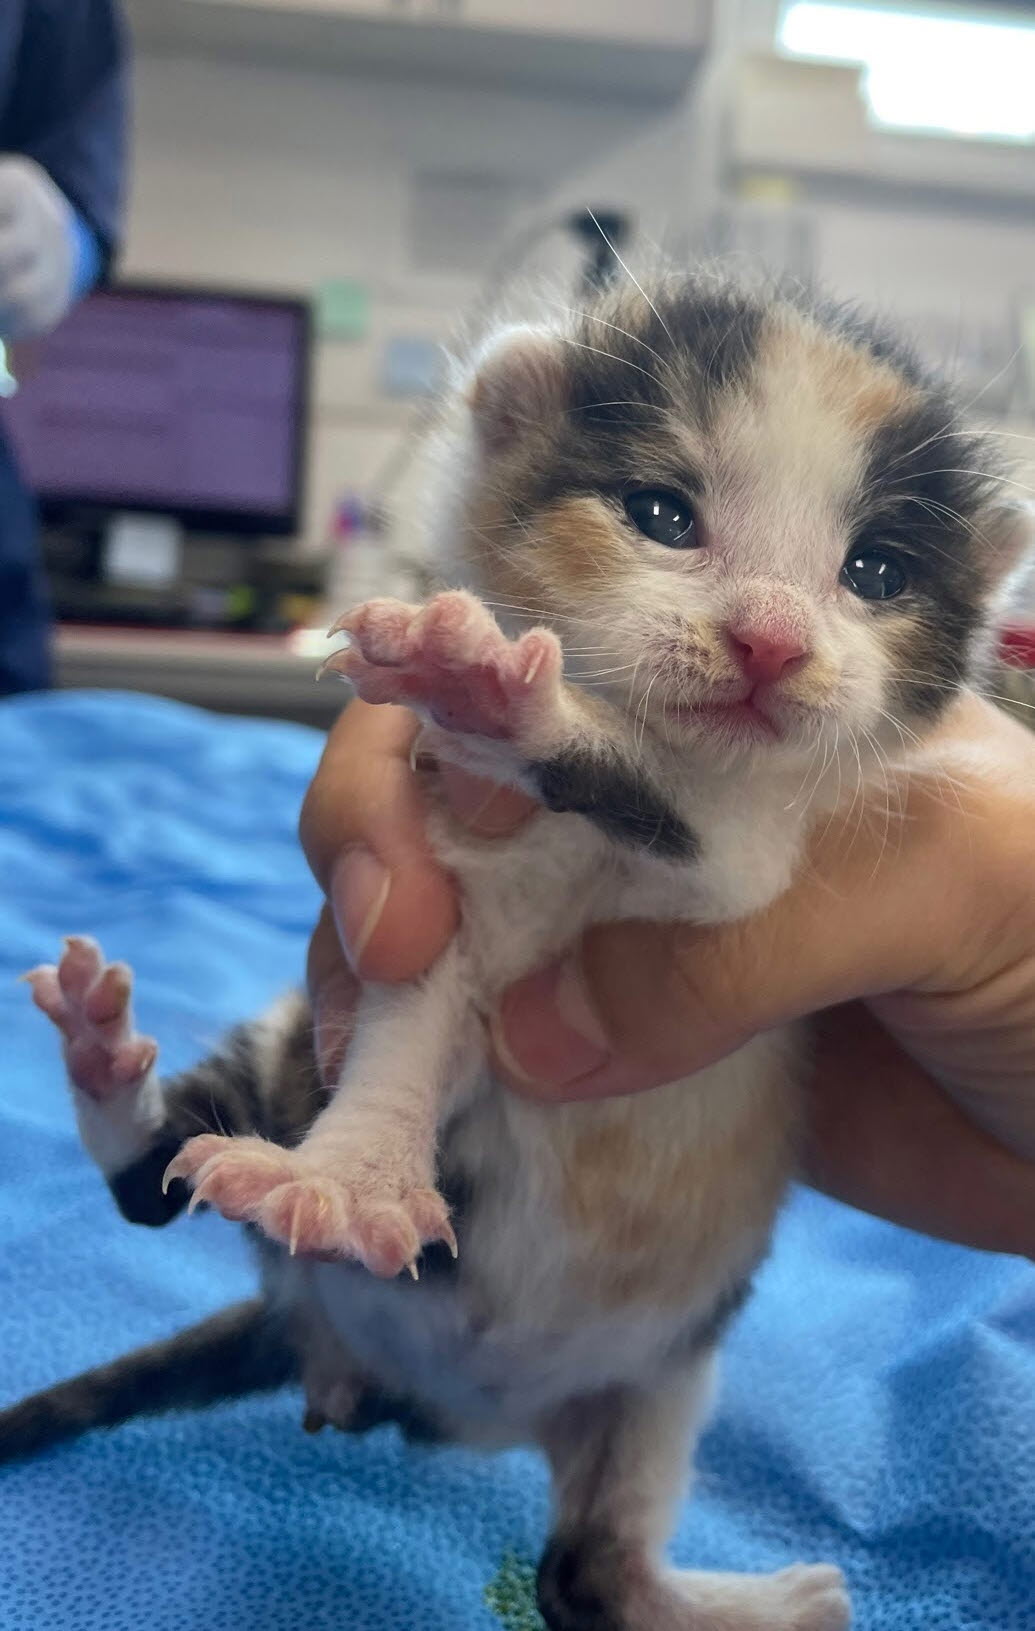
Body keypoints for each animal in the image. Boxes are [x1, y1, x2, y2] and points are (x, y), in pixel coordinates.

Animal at [8, 274, 1030, 1624]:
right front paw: (352, 1178)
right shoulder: (446, 881)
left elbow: (688, 811)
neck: (596, 868)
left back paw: (752, 1601)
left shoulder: (761, 860)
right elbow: (414, 1010)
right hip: (289, 1062)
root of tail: (432, 1399)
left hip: (666, 1369)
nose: (771, 642)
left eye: (875, 569)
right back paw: (107, 1062)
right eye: (663, 514)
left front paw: (520, 704)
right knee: (149, 1184)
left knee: (584, 1572)